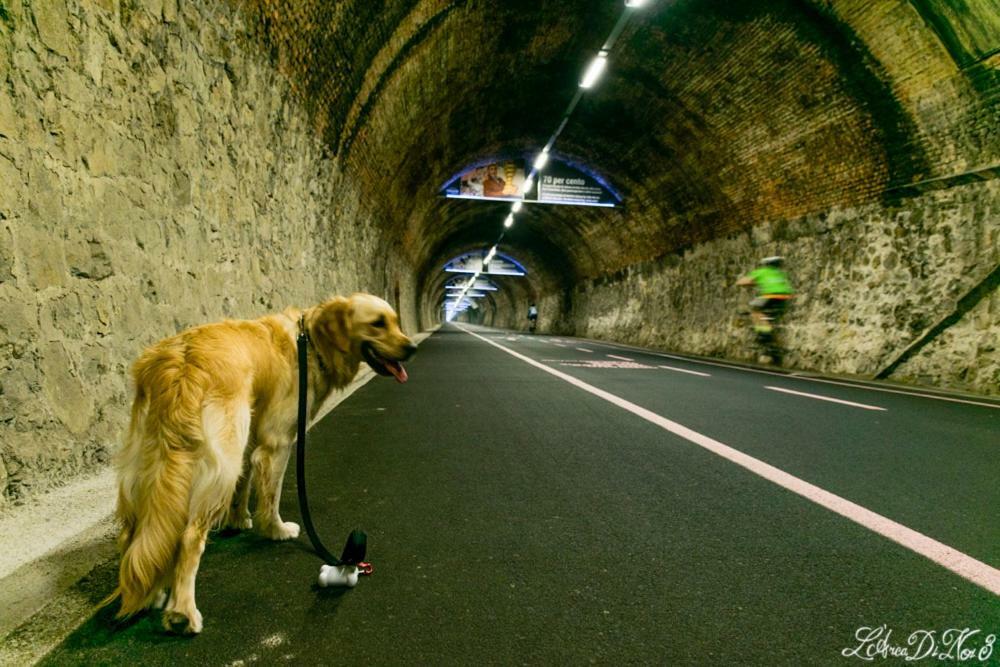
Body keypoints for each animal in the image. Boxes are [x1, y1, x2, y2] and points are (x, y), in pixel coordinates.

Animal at [109, 294, 418, 636]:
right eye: (378, 323)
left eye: (395, 321)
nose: (412, 348)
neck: (312, 341)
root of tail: (178, 360)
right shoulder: (277, 442)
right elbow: (271, 495)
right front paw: (276, 530)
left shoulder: (251, 438)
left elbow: (244, 485)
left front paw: (239, 519)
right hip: (220, 460)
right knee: (189, 537)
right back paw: (183, 612)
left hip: (150, 466)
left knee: (133, 536)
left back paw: (150, 594)